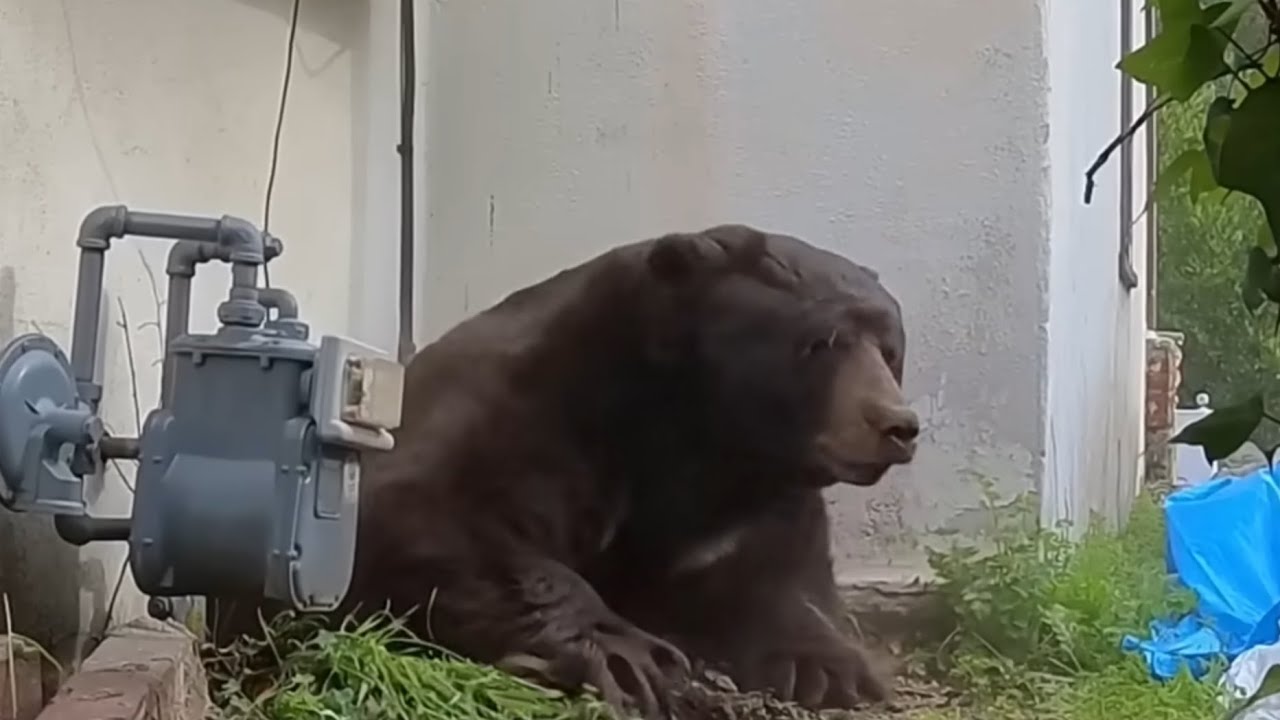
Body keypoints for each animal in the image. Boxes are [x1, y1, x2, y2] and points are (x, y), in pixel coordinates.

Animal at [345, 223, 920, 719]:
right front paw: (632, 658)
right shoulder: (531, 413)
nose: (897, 424)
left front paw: (830, 667)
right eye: (820, 342)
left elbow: (778, 575)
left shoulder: (751, 499)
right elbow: (428, 510)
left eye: (890, 349)